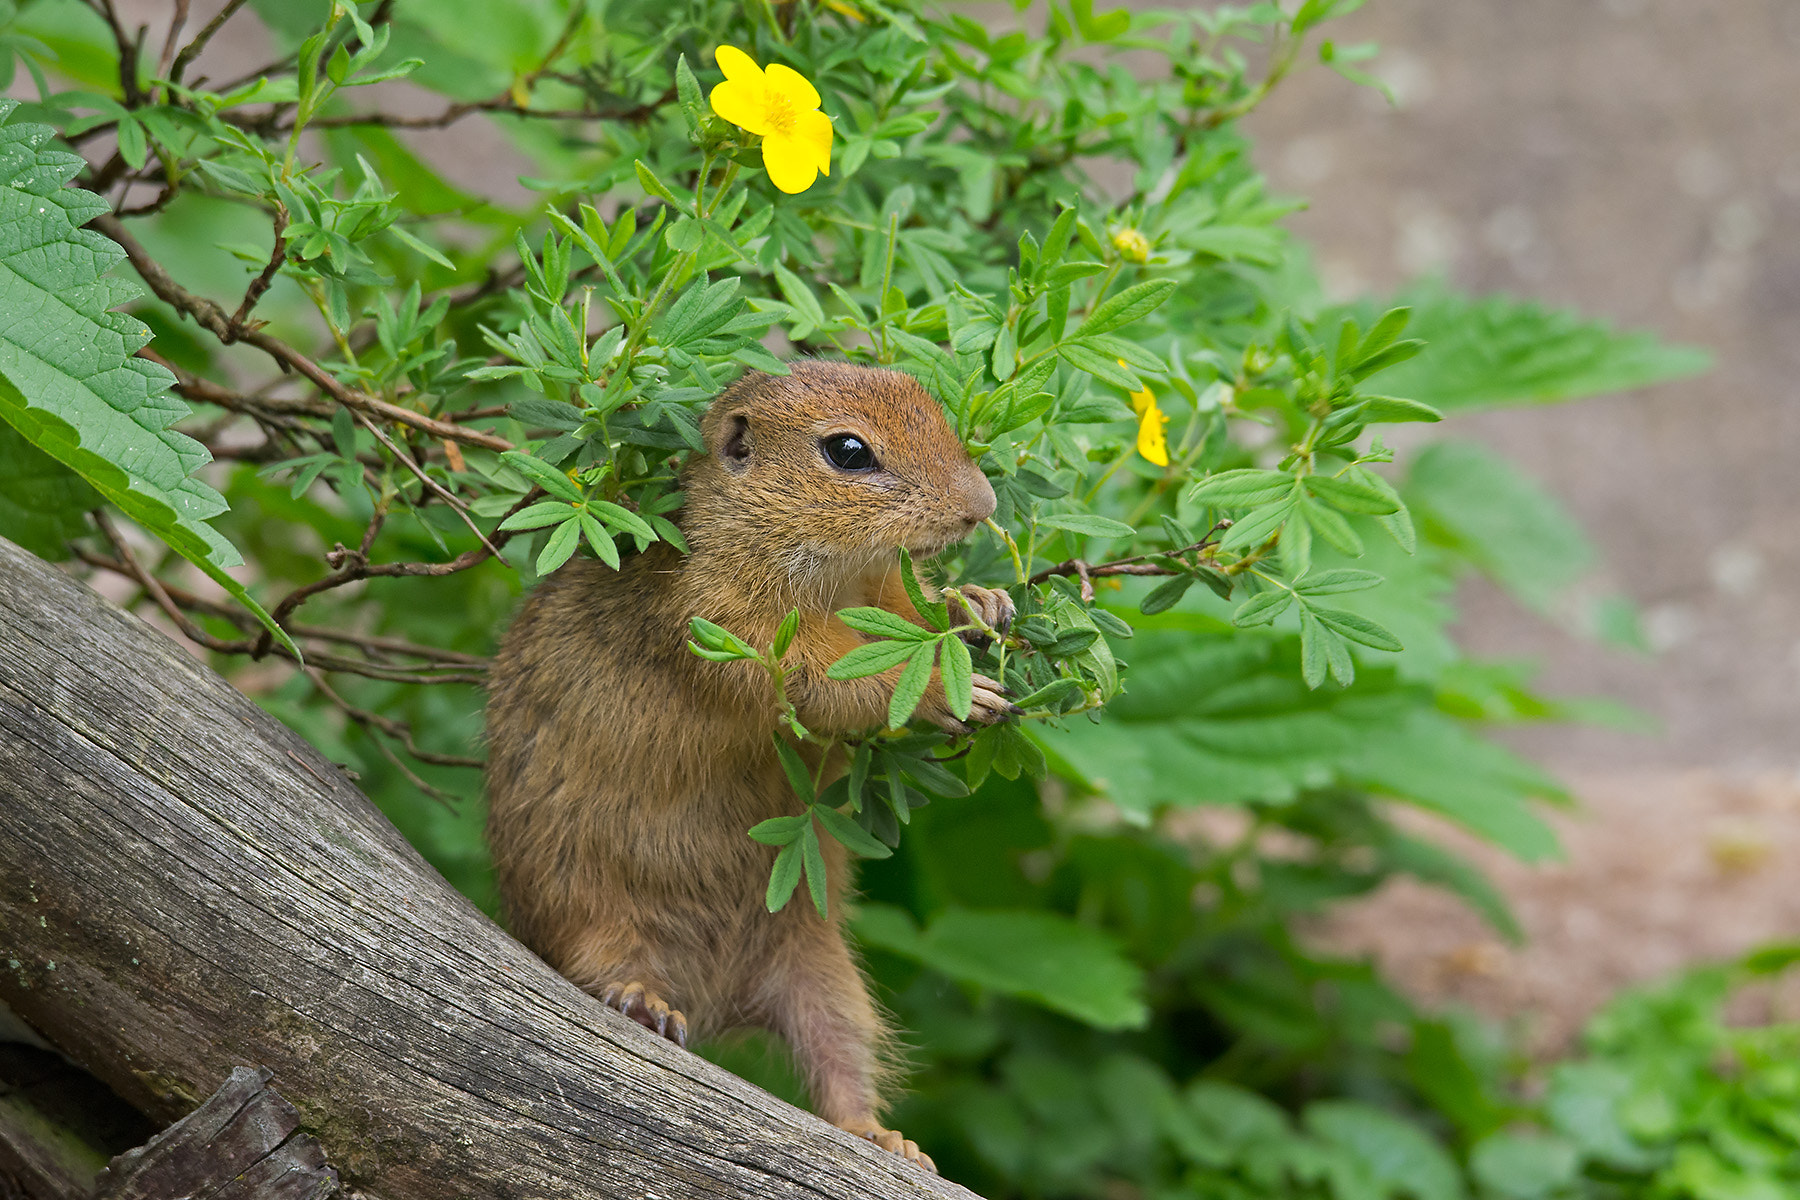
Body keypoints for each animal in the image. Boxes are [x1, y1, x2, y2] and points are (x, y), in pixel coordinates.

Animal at [486, 363, 1022, 1173]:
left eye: (925, 399)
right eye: (847, 451)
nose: (981, 506)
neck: (835, 577)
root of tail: (718, 996)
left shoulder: (887, 592)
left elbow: (917, 612)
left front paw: (979, 604)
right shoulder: (741, 632)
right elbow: (842, 681)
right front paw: (943, 686)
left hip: (824, 976)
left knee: (841, 1065)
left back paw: (888, 1139)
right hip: (585, 907)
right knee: (595, 966)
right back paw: (644, 1003)